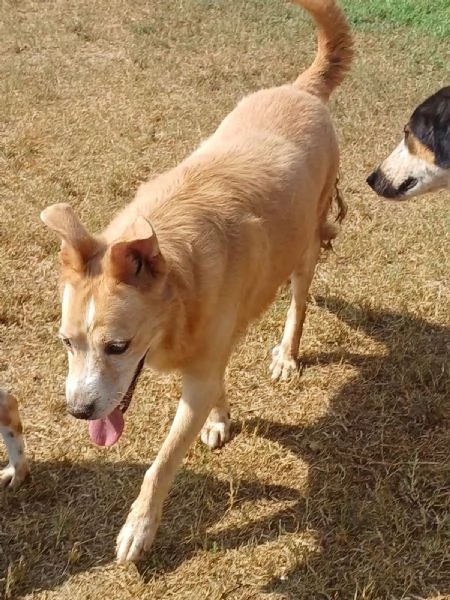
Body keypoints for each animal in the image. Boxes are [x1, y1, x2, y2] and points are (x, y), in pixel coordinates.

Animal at [40, 0, 354, 564]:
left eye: (117, 346)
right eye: (66, 342)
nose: (77, 411)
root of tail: (300, 88)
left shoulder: (198, 374)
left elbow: (161, 463)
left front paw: (139, 527)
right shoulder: (208, 355)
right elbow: (217, 386)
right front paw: (220, 420)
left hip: (307, 245)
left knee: (299, 303)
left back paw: (287, 353)